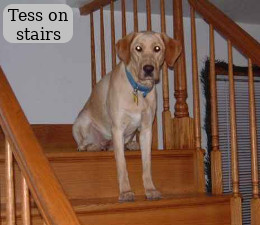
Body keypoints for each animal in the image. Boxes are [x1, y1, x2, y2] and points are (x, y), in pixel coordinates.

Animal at [72, 31, 182, 202]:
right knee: (83, 144)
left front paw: (150, 189)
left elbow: (147, 165)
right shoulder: (117, 129)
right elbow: (122, 166)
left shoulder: (146, 130)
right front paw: (125, 192)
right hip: (81, 122)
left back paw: (130, 145)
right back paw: (92, 146)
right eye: (138, 48)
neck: (138, 89)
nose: (148, 68)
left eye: (157, 49)